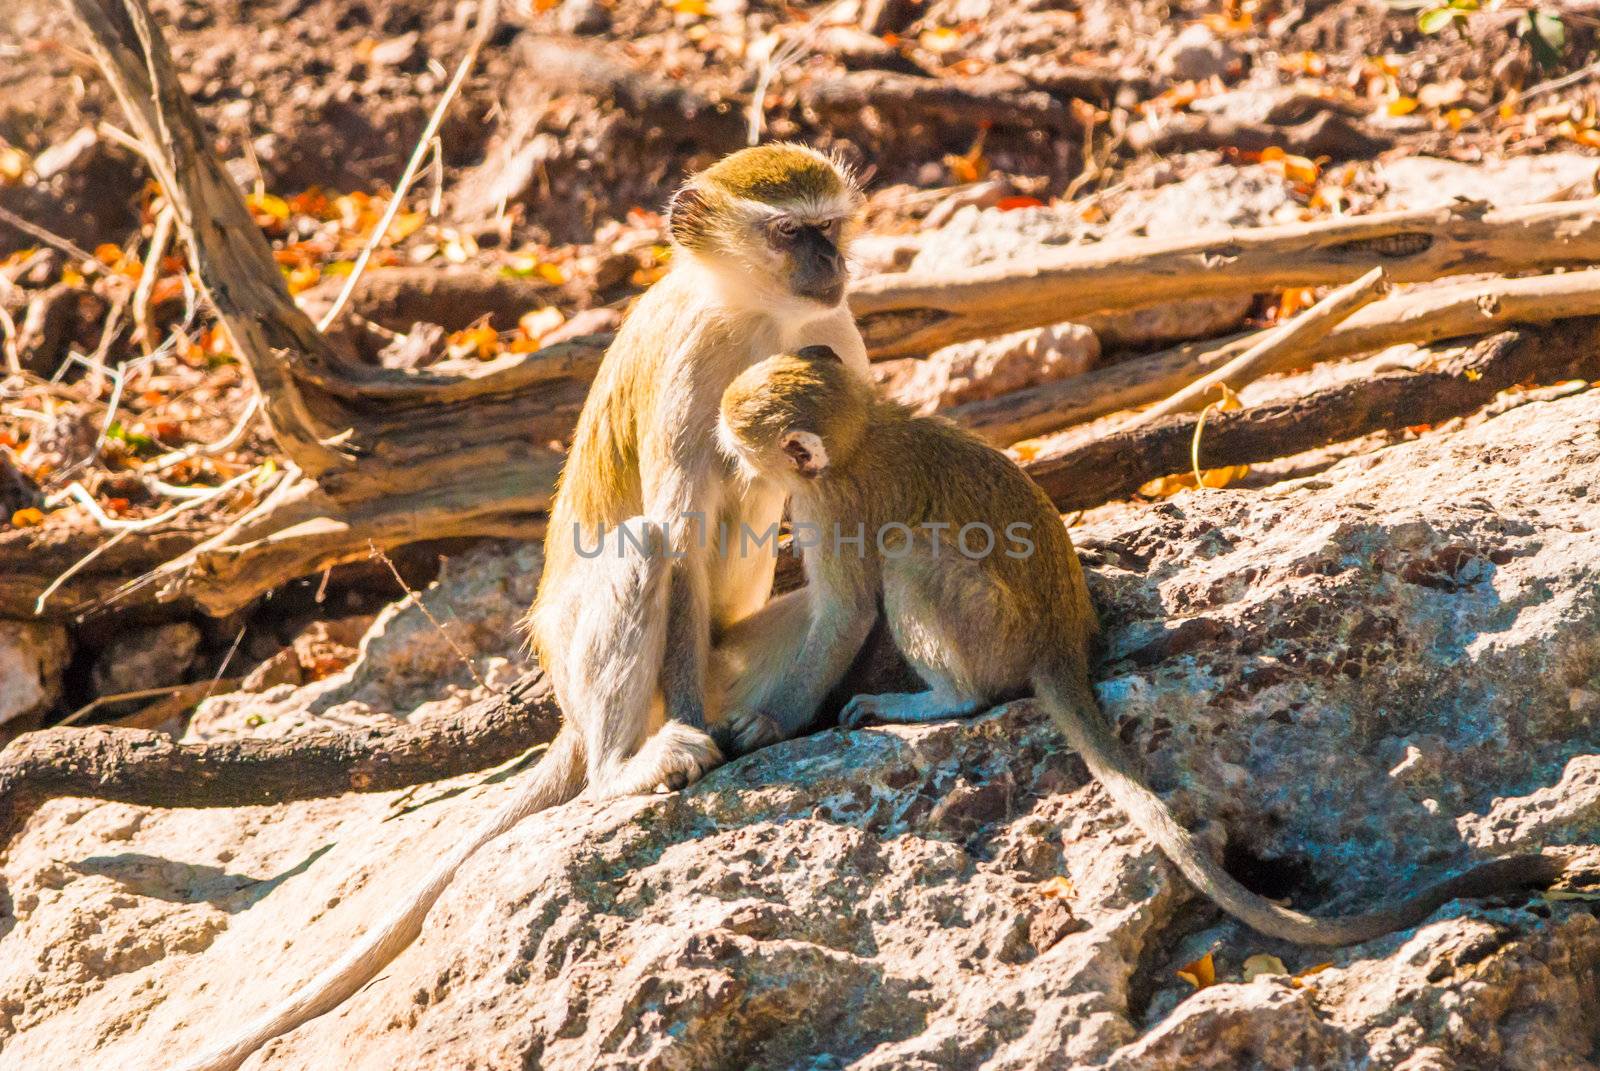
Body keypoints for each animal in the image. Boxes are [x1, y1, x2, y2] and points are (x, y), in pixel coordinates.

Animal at [173, 144, 870, 1069]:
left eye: (831, 227)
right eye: (792, 232)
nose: (831, 263)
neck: (758, 315)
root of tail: (570, 712)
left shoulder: (839, 335)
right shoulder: (690, 363)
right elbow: (679, 540)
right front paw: (691, 742)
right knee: (644, 548)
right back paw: (621, 769)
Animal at [713, 347, 1561, 941]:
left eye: (735, 435)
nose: (719, 445)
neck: (864, 429)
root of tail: (1059, 644)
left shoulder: (831, 505)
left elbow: (847, 612)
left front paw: (768, 724)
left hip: (984, 624)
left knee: (914, 567)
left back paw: (940, 699)